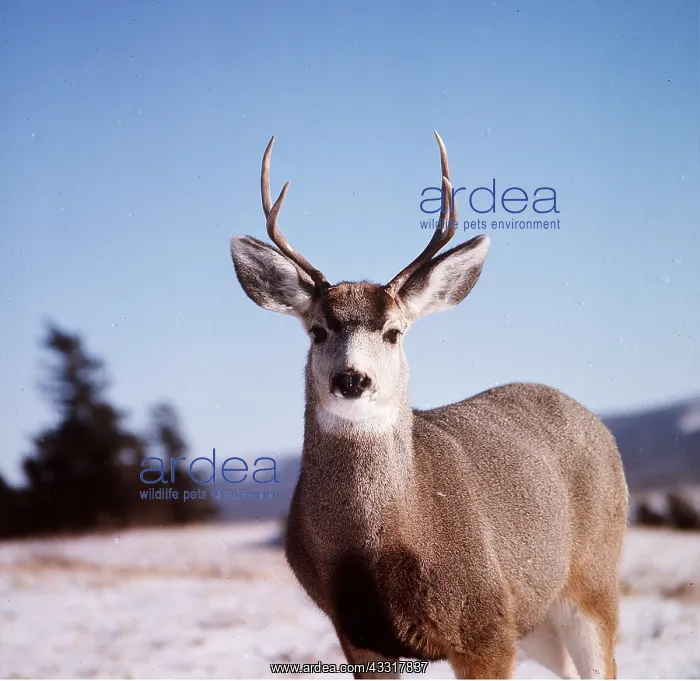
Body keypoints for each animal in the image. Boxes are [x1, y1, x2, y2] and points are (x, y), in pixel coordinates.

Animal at [229, 132, 628, 679]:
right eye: (318, 331)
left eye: (393, 332)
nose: (351, 379)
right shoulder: (359, 637)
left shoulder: (486, 626)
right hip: (539, 616)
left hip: (593, 582)